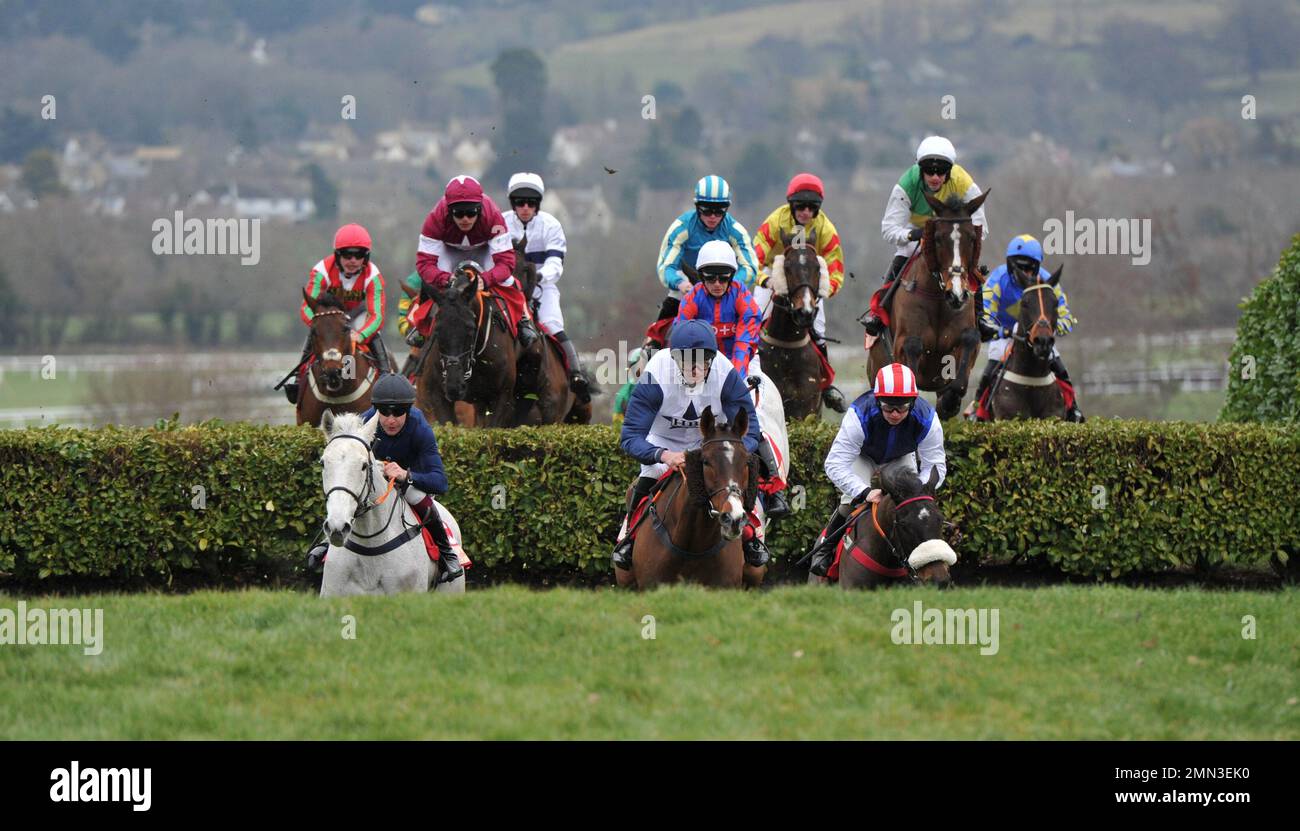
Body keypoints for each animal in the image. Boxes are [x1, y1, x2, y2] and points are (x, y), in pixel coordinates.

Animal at [868, 191, 987, 418]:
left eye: (972, 237)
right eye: (938, 238)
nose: (956, 294)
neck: (939, 299)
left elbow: (970, 340)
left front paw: (949, 402)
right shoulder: (902, 341)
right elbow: (912, 346)